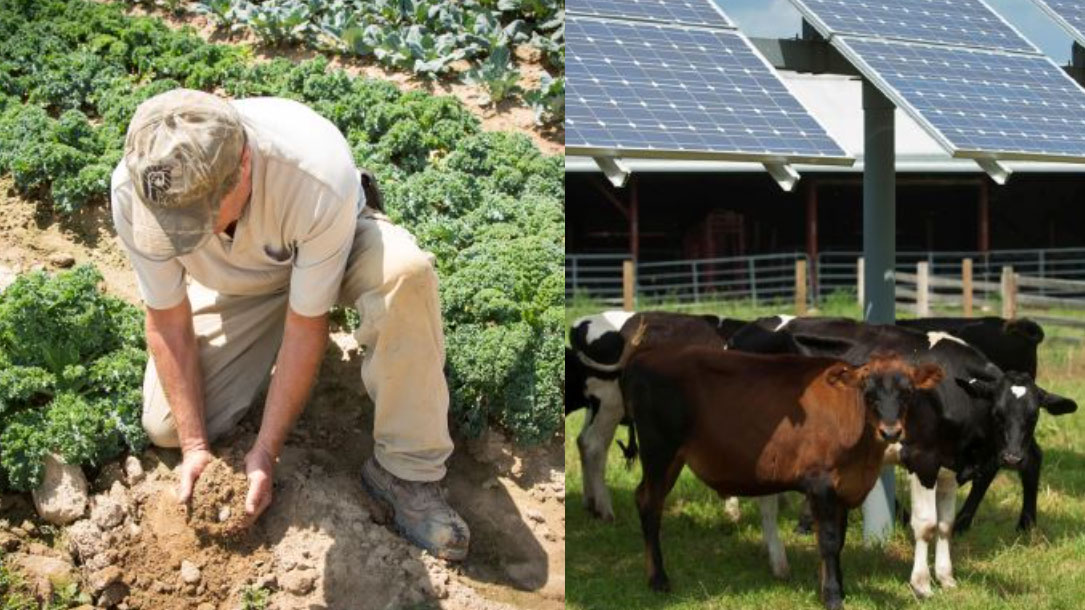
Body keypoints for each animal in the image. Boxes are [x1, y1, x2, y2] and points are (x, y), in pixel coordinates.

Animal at [568, 310, 746, 520]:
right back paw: (604, 510)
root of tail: (582, 323)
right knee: (594, 446)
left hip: (596, 406)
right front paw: (732, 508)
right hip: (610, 403)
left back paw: (590, 502)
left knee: (582, 441)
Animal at [620, 327, 941, 607]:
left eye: (907, 392)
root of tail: (648, 354)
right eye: (868, 391)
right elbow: (827, 540)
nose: (891, 431)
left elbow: (837, 541)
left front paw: (837, 589)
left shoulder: (842, 488)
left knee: (643, 498)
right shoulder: (820, 482)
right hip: (659, 449)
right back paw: (658, 579)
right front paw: (832, 596)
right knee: (650, 504)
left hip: (672, 457)